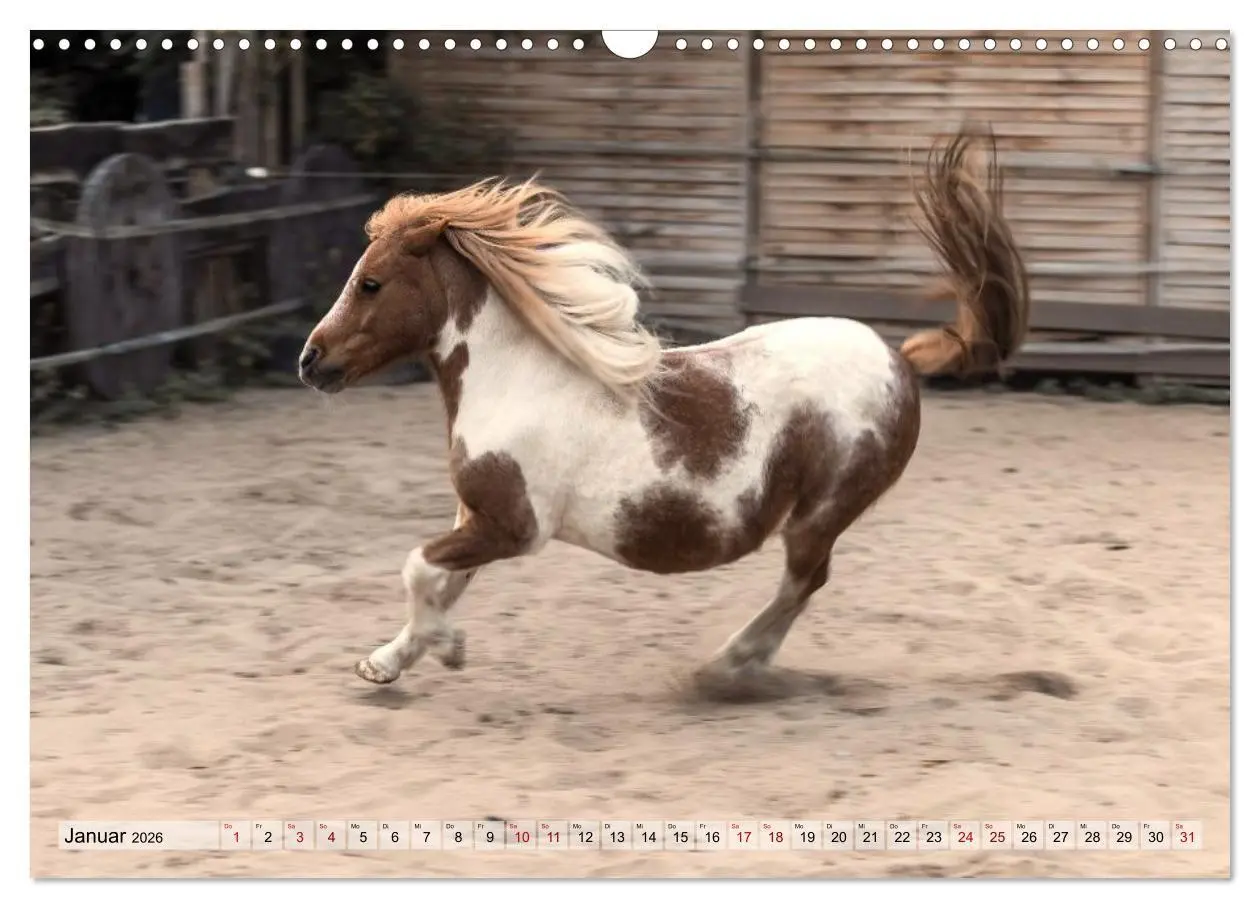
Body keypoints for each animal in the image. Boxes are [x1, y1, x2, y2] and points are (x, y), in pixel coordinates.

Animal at [297, 126, 1030, 689]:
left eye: (370, 282)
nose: (309, 359)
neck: (515, 383)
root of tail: (898, 362)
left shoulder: (514, 526)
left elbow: (419, 567)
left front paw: (446, 649)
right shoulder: (478, 517)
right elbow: (440, 581)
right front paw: (387, 663)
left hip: (822, 511)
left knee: (805, 580)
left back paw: (727, 666)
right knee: (805, 583)